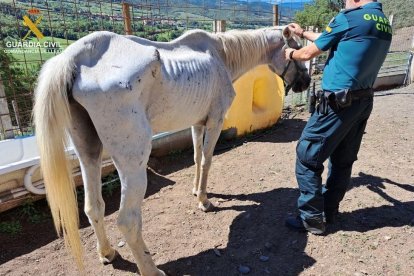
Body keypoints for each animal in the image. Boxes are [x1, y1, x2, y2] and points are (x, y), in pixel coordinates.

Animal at [33, 25, 310, 274]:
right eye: (296, 50)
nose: (306, 82)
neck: (220, 55)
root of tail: (76, 57)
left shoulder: (197, 123)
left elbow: (197, 157)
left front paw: (196, 190)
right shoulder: (215, 121)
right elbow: (207, 160)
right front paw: (204, 201)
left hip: (88, 153)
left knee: (93, 207)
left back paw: (108, 253)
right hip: (133, 163)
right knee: (128, 221)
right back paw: (151, 270)